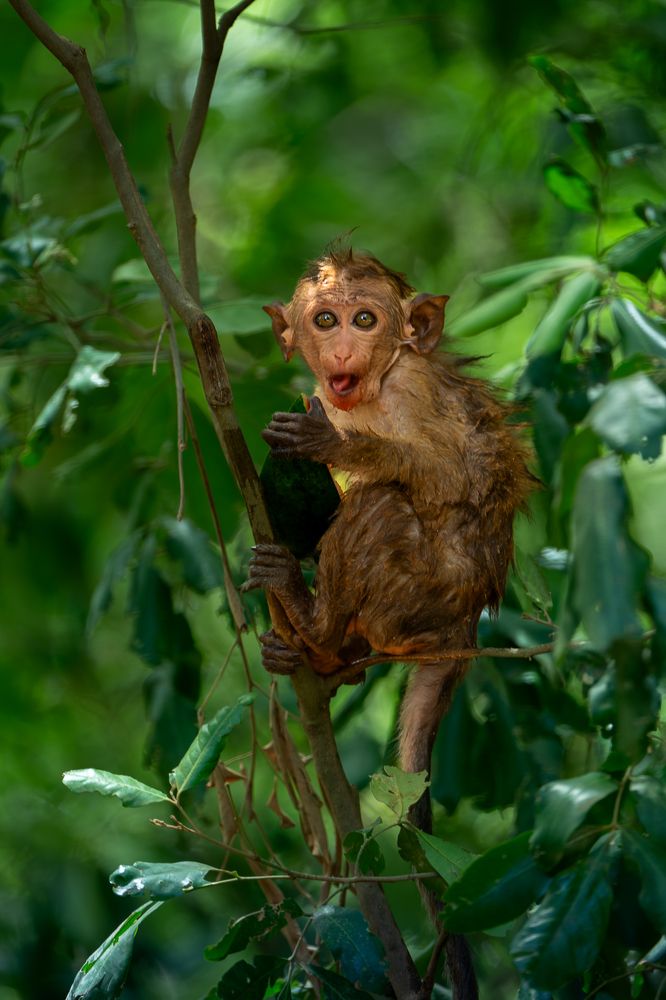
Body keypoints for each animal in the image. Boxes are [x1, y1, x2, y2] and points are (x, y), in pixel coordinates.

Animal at [244, 248, 534, 998]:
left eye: (366, 319)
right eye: (325, 319)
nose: (343, 347)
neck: (371, 392)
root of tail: (463, 628)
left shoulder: (412, 393)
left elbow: (446, 477)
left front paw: (331, 444)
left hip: (416, 594)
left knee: (381, 505)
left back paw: (311, 621)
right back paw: (322, 656)